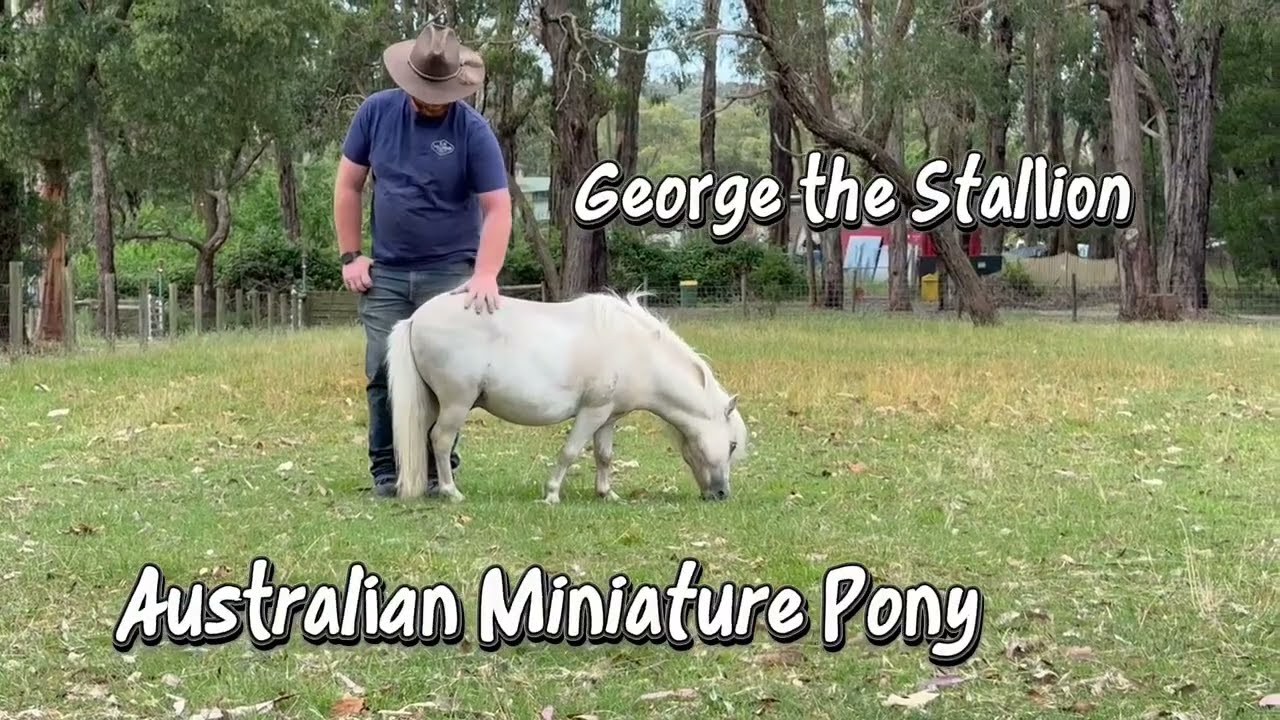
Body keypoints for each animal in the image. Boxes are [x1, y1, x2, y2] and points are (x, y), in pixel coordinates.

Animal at [383, 289, 749, 504]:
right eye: (731, 445)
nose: (721, 494)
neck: (636, 350)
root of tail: (415, 318)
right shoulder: (592, 412)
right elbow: (570, 452)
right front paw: (552, 495)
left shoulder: (608, 418)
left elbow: (604, 456)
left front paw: (607, 493)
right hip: (456, 404)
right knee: (441, 440)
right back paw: (451, 492)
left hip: (434, 403)